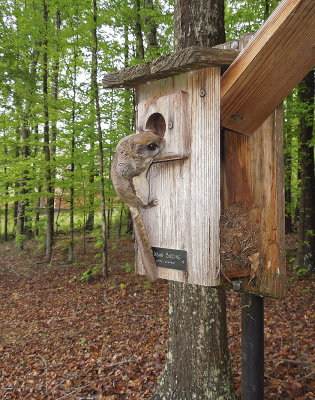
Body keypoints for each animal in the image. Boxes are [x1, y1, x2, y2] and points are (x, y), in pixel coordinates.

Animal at [110, 131, 165, 282]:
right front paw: (150, 160)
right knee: (144, 205)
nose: (163, 140)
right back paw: (150, 203)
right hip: (140, 188)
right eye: (151, 146)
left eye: (154, 132)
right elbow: (134, 169)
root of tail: (131, 204)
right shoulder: (128, 167)